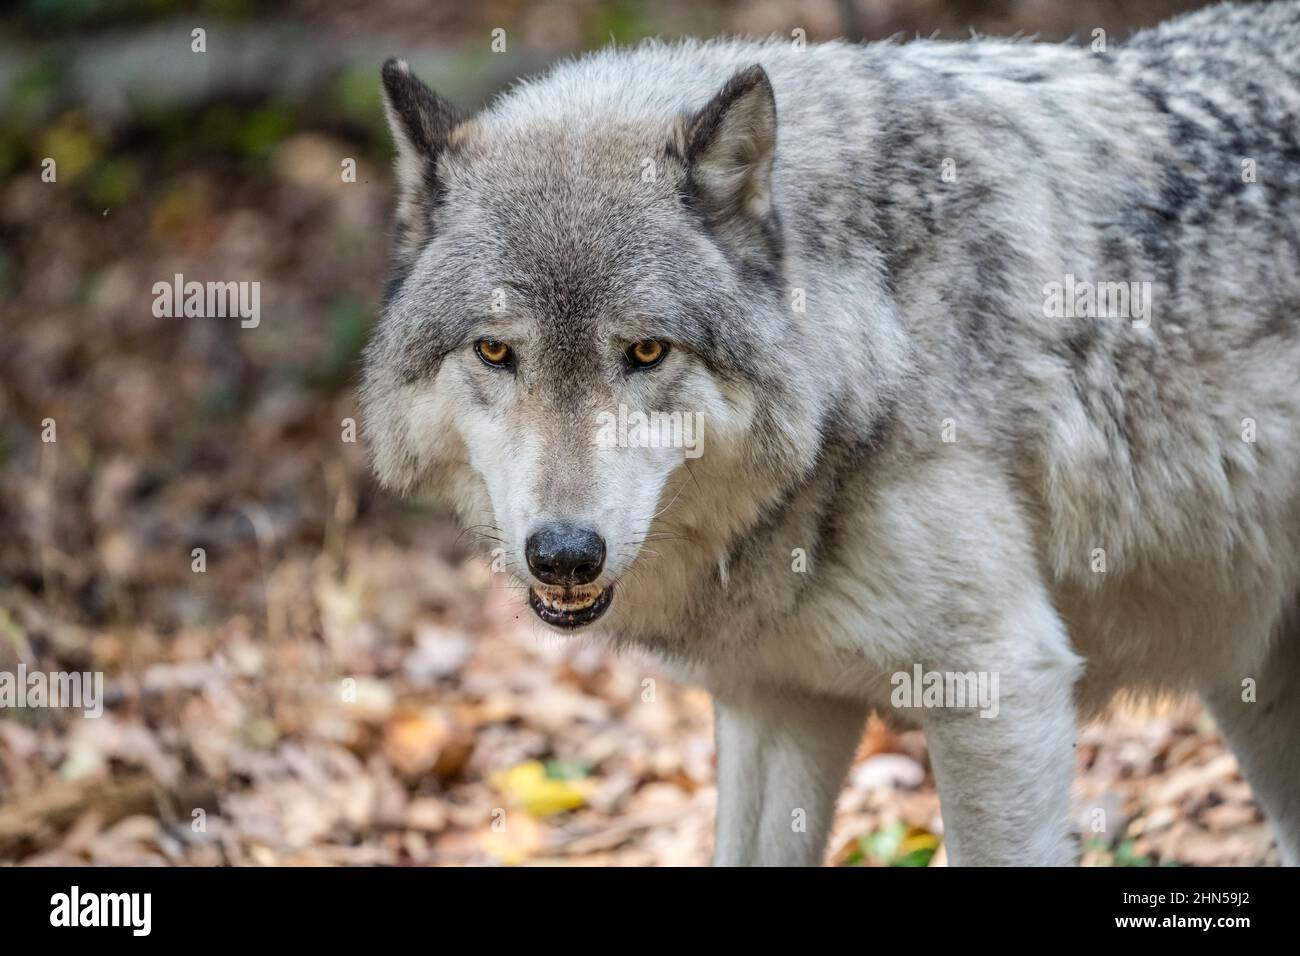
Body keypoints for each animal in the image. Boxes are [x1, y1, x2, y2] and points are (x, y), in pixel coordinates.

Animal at [361, 0, 1300, 868]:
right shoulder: (777, 704)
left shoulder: (1000, 690)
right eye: (495, 350)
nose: (563, 555)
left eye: (646, 350)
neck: (878, 326)